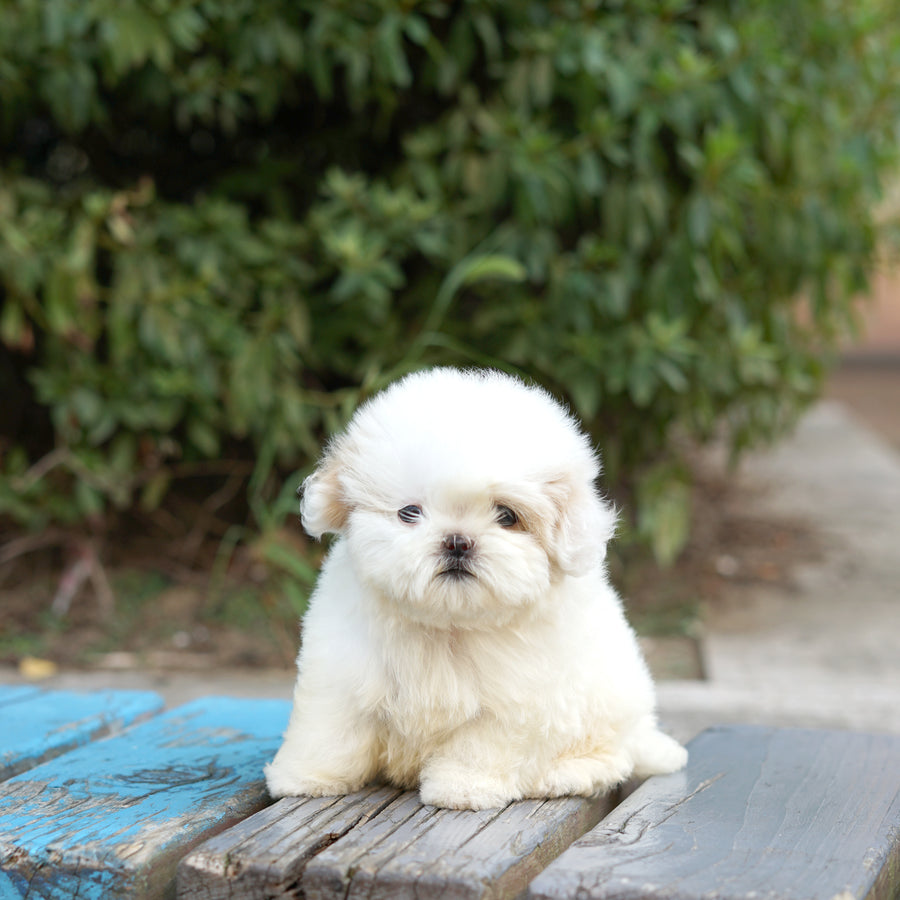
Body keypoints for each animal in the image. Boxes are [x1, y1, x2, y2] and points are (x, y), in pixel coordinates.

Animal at [264, 366, 684, 808]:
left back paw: (564, 774)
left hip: (607, 706)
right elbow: (329, 728)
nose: (457, 541)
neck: (449, 621)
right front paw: (307, 777)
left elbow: (481, 744)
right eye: (409, 512)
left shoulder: (512, 702)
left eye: (507, 516)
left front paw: (463, 788)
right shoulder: (341, 670)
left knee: (613, 755)